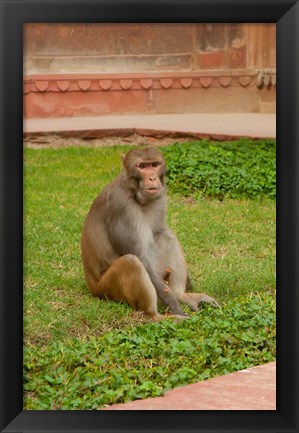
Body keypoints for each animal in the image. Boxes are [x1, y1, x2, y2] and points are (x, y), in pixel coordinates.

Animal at [81, 147, 219, 318]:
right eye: (142, 166)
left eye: (154, 164)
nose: (152, 178)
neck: (133, 192)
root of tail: (92, 287)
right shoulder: (121, 207)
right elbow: (141, 259)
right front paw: (174, 306)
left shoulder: (160, 197)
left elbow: (160, 231)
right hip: (108, 289)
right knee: (131, 262)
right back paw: (157, 316)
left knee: (167, 236)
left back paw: (181, 295)